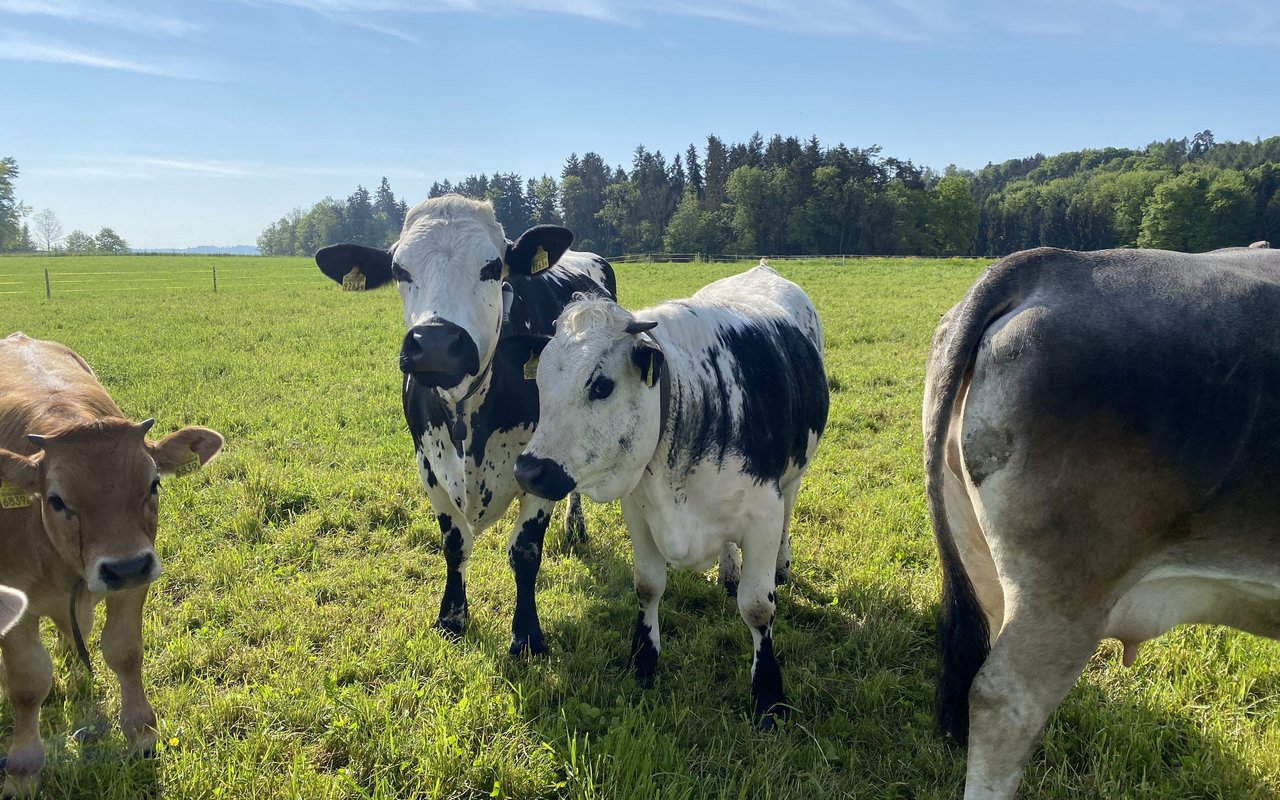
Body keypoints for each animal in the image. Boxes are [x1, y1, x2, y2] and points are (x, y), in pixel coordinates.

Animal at [0, 332, 223, 796]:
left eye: (153, 483)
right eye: (56, 500)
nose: (124, 567)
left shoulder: (135, 586)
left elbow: (124, 652)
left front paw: (142, 735)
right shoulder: (15, 605)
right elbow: (27, 684)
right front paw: (22, 770)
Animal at [315, 195, 616, 656]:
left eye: (492, 267)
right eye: (400, 271)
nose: (436, 344)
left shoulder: (537, 465)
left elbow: (525, 551)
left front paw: (527, 635)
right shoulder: (427, 464)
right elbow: (454, 545)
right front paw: (452, 618)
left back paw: (575, 526)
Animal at [512, 262, 828, 727]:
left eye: (601, 385)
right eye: (541, 381)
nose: (529, 469)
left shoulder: (763, 515)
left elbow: (757, 607)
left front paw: (768, 695)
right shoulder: (639, 511)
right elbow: (647, 586)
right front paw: (644, 661)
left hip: (792, 476)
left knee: (790, 510)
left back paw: (781, 565)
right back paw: (728, 571)